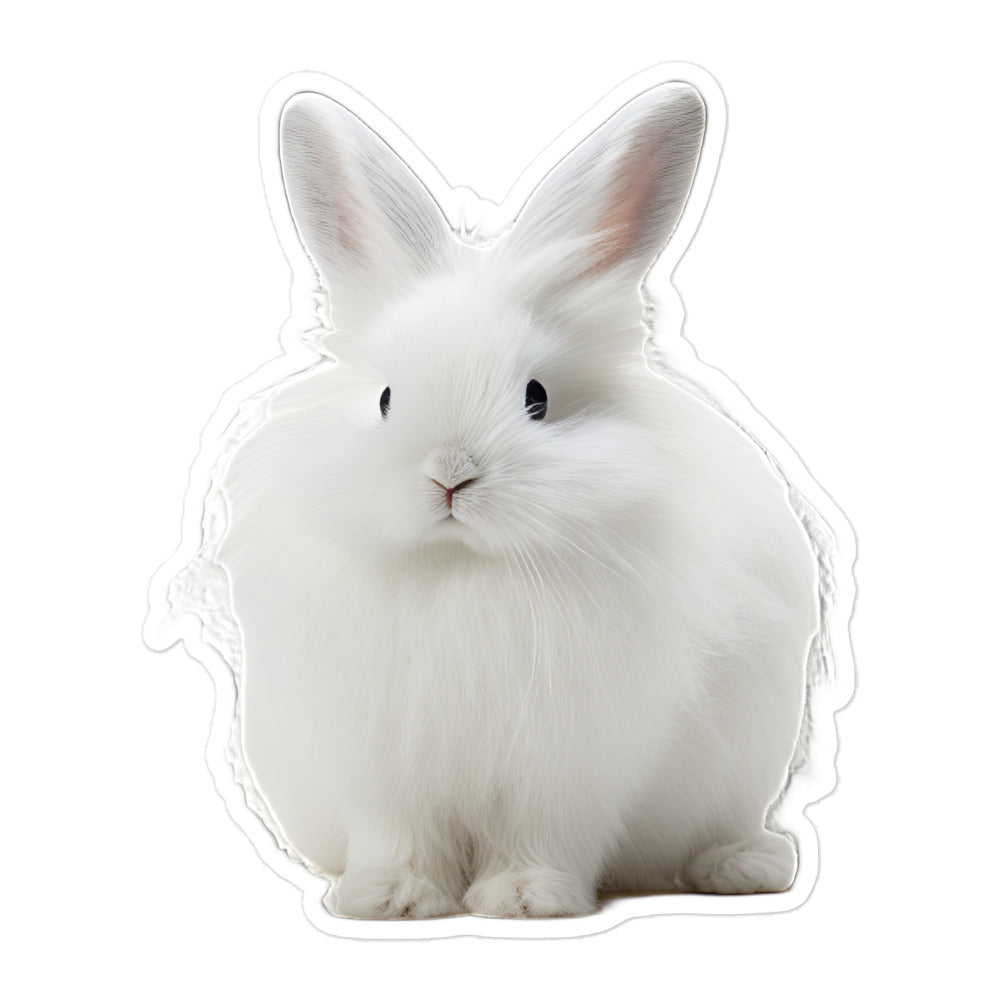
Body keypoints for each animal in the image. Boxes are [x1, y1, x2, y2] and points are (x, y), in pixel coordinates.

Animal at [215, 79, 820, 919]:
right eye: (386, 399)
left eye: (537, 398)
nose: (451, 474)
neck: (464, 570)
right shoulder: (383, 766)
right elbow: (397, 836)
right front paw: (390, 897)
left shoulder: (568, 767)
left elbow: (543, 835)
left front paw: (527, 898)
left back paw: (743, 868)